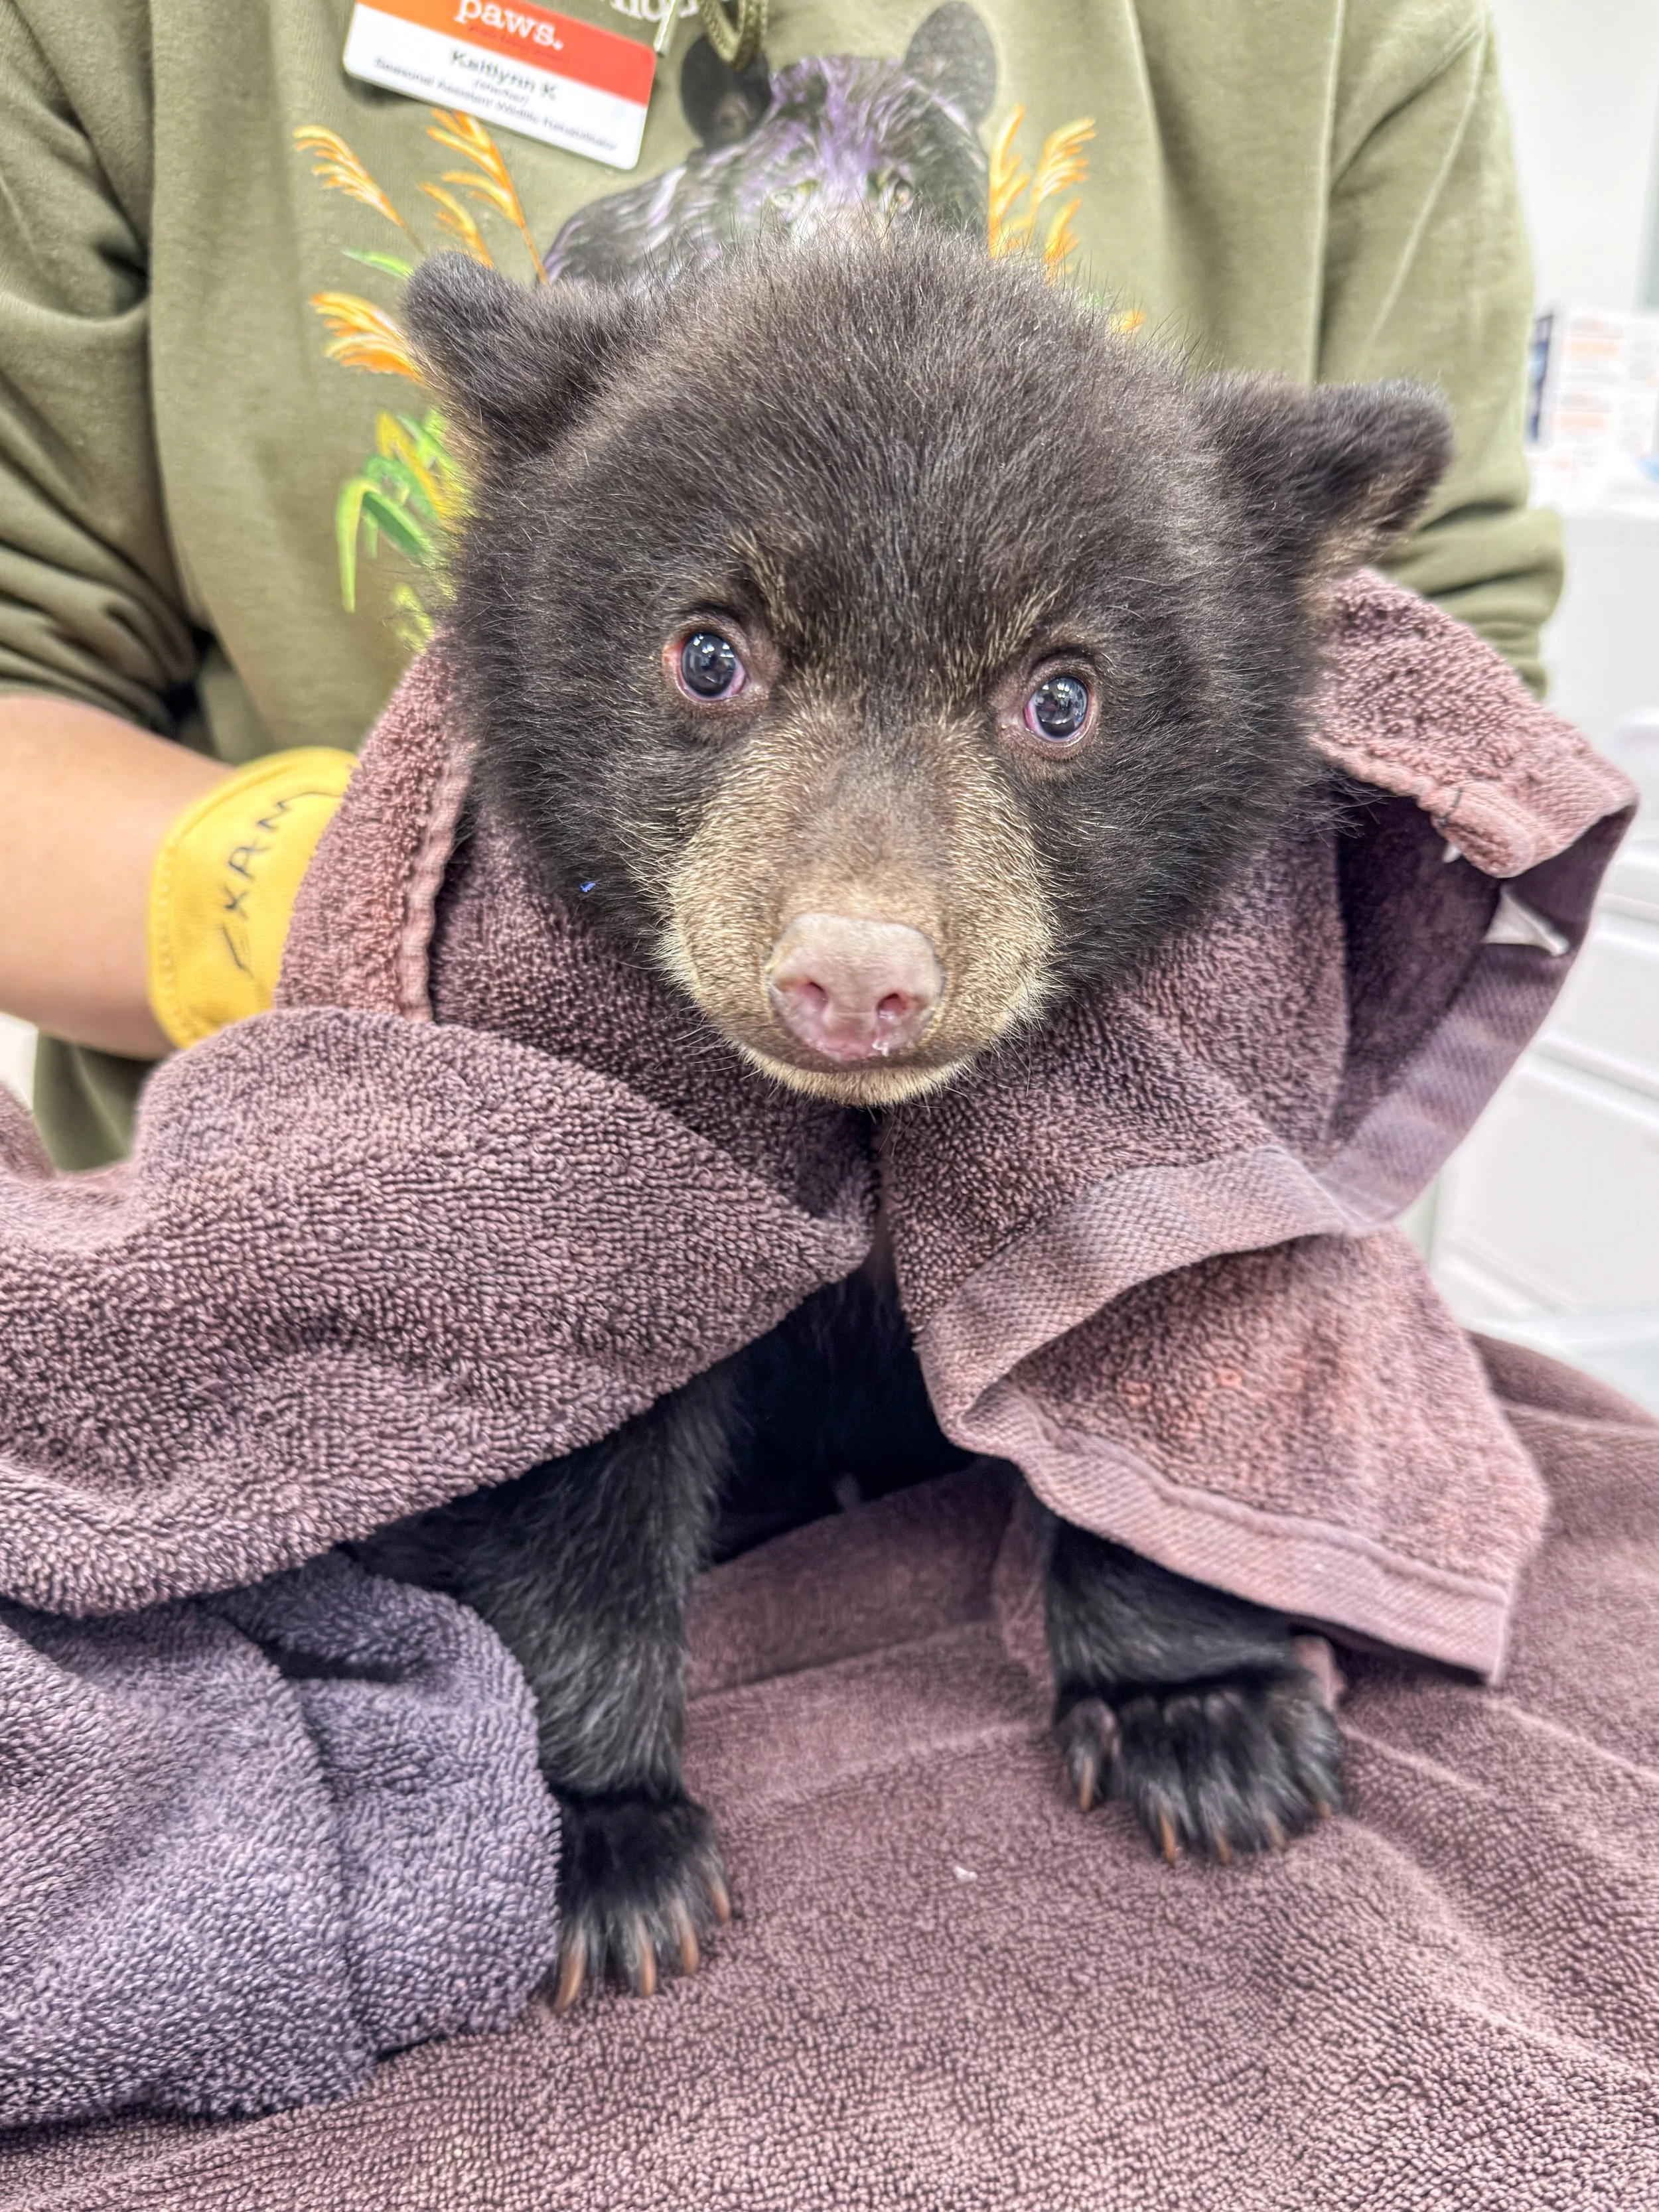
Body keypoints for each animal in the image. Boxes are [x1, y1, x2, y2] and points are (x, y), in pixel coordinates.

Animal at [360, 224, 1451, 2008]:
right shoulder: (571, 1125)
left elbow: (1182, 1349)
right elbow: (567, 1424)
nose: (854, 979)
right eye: (709, 652)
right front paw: (602, 1850)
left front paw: (1204, 1721)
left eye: (1060, 696)